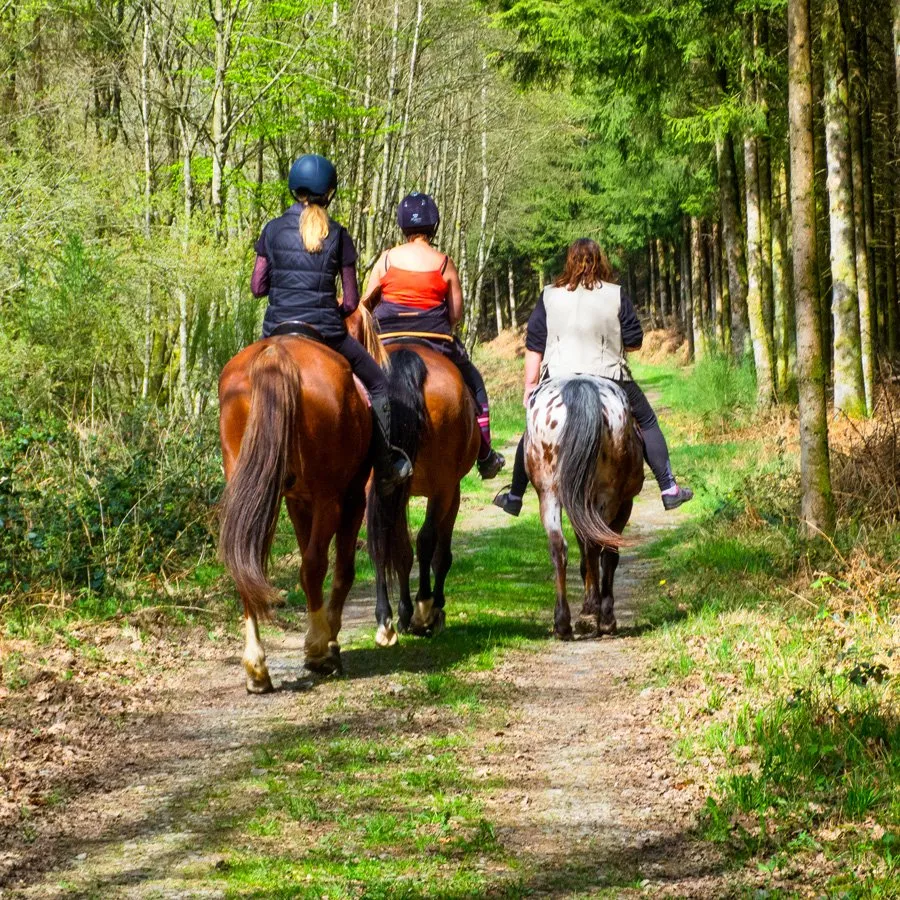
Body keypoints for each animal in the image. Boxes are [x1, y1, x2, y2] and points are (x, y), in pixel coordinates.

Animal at [217, 308, 385, 692]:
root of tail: (274, 356)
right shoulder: (350, 497)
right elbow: (342, 569)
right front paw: (330, 637)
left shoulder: (296, 500)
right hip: (330, 497)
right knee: (313, 565)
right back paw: (318, 648)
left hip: (253, 491)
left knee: (247, 563)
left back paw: (256, 667)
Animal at [365, 341, 480, 647]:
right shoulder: (453, 490)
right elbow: (441, 552)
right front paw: (433, 609)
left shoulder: (398, 491)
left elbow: (401, 552)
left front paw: (404, 614)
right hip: (443, 486)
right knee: (427, 541)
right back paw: (425, 607)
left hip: (377, 485)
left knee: (381, 544)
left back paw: (386, 619)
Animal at [526, 376, 644, 640]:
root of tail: (579, 385)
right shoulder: (624, 504)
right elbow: (609, 555)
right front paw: (603, 615)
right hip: (607, 497)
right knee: (595, 546)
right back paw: (595, 617)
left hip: (548, 493)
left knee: (558, 546)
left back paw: (563, 623)